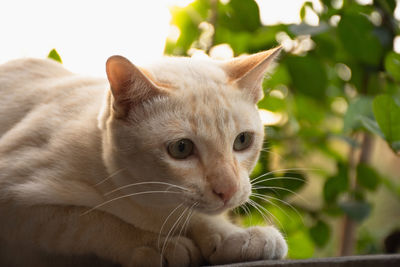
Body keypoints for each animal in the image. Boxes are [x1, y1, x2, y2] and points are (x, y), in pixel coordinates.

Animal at [0, 47, 288, 266]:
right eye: (181, 148)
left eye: (242, 141)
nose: (228, 190)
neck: (155, 208)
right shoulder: (16, 202)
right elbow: (93, 221)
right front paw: (160, 246)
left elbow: (203, 218)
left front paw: (235, 237)